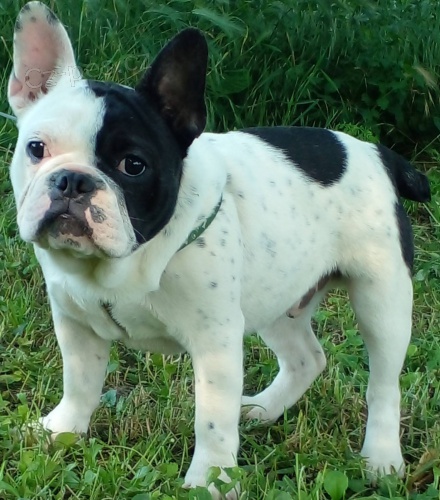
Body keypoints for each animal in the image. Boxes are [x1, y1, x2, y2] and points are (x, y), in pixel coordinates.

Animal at [8, 2, 430, 498]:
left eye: (134, 166)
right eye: (36, 148)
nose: (72, 180)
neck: (121, 264)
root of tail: (376, 152)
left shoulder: (216, 342)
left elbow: (211, 419)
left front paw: (211, 479)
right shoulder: (76, 325)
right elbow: (79, 383)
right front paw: (61, 430)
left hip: (381, 299)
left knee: (383, 384)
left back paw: (381, 458)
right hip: (276, 297)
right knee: (307, 358)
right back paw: (263, 409)